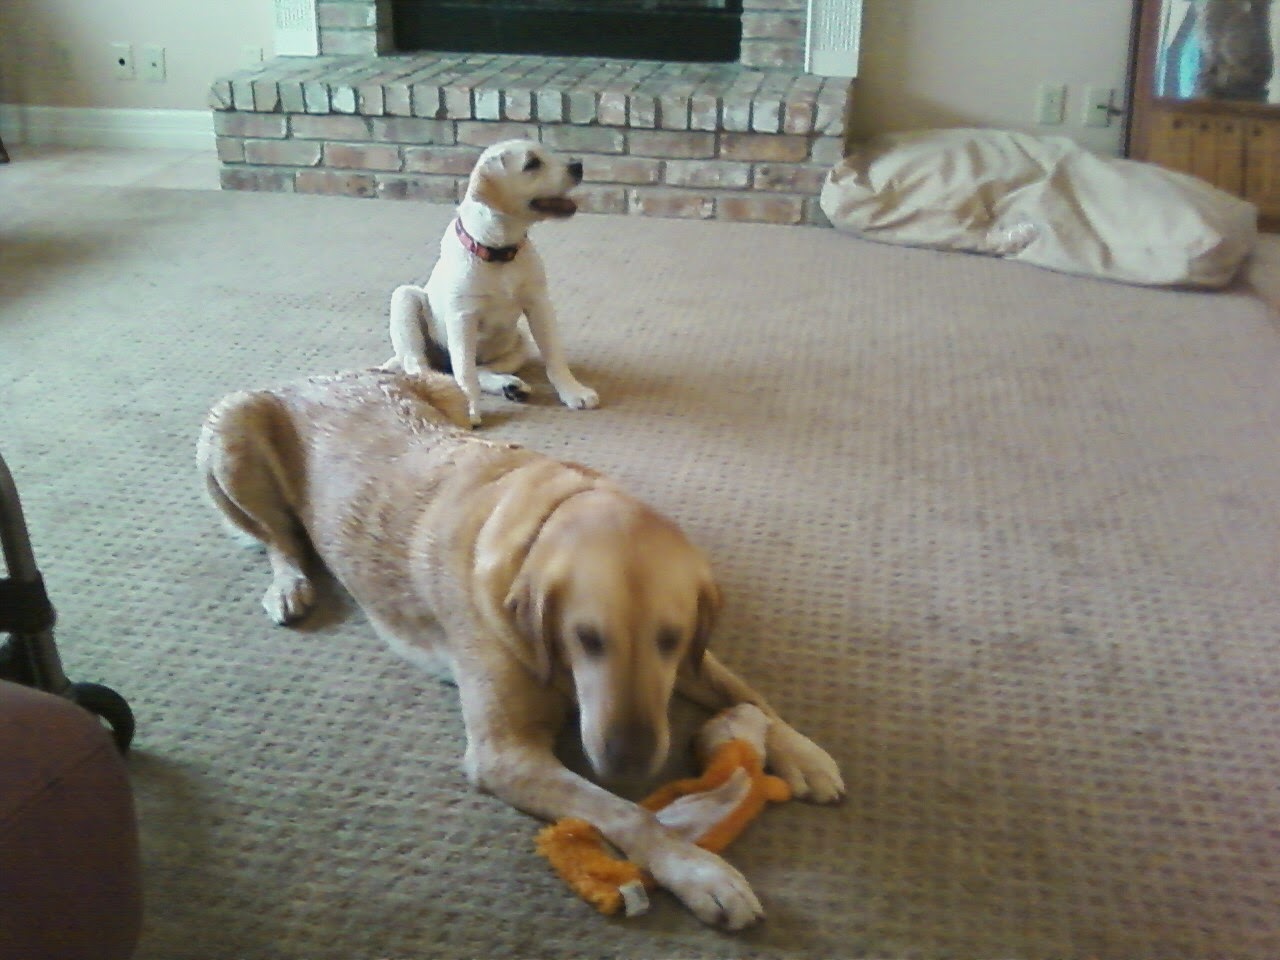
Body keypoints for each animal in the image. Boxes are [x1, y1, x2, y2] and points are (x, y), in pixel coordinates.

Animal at [197, 368, 844, 930]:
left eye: (670, 638)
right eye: (586, 638)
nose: (631, 762)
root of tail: (313, 376)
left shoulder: (692, 660)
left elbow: (749, 694)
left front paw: (802, 751)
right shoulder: (503, 755)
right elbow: (624, 811)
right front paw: (697, 870)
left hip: (446, 393)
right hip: (231, 433)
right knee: (278, 538)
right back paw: (290, 584)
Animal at [387, 139, 598, 427]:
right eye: (532, 163)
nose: (578, 166)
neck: (499, 251)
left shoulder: (539, 304)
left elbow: (554, 355)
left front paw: (573, 391)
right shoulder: (463, 317)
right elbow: (464, 371)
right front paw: (469, 408)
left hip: (520, 343)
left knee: (480, 369)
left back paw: (511, 385)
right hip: (405, 299)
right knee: (423, 366)